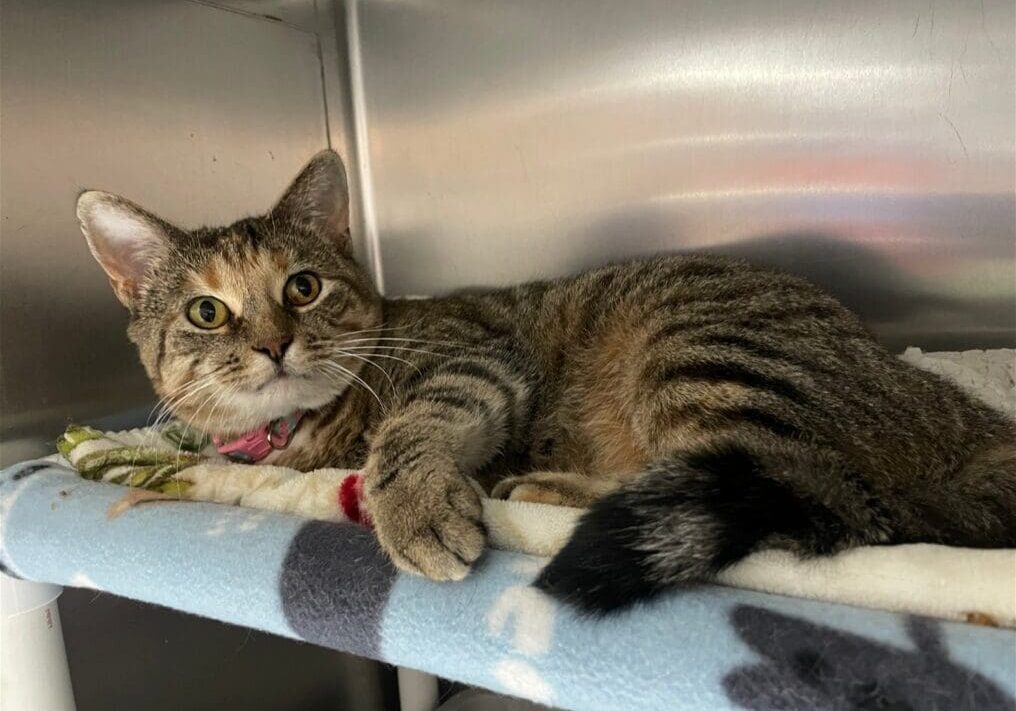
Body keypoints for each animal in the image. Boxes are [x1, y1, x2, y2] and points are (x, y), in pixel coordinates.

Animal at [77, 152, 1016, 613]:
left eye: (302, 287)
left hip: (701, 352)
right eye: (207, 311)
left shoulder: (474, 358)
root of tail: (973, 424)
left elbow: (408, 430)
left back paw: (548, 487)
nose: (275, 342)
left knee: (804, 490)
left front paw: (410, 499)